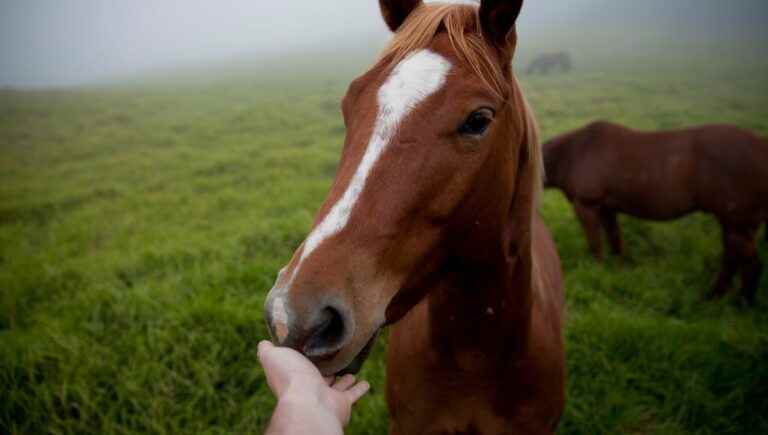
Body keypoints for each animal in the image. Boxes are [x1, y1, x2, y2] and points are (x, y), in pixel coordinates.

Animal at [540, 121, 768, 304]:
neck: (571, 154)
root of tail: (760, 145)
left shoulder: (587, 206)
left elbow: (595, 245)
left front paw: (597, 271)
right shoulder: (607, 209)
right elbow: (615, 242)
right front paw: (618, 271)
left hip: (737, 224)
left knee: (749, 264)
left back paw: (739, 303)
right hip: (734, 224)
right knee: (734, 261)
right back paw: (717, 298)